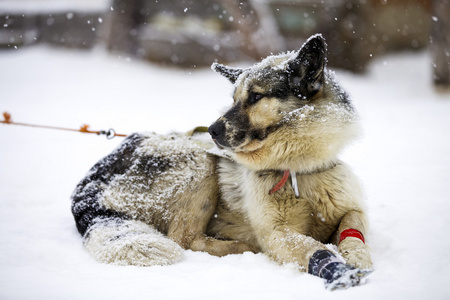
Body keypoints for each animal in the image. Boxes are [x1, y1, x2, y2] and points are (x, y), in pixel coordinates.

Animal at [70, 34, 372, 290]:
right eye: (234, 99)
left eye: (256, 96)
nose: (212, 130)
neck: (298, 168)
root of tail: (89, 184)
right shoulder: (277, 232)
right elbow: (311, 247)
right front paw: (335, 267)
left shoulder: (350, 210)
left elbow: (354, 232)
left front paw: (357, 259)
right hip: (199, 164)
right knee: (184, 238)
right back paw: (243, 247)